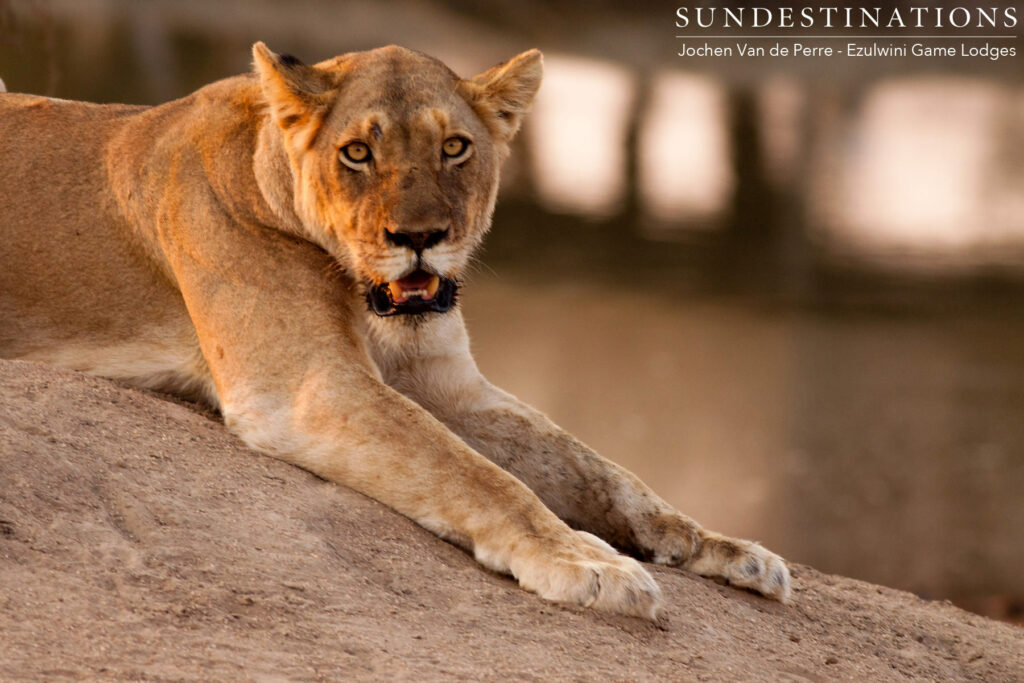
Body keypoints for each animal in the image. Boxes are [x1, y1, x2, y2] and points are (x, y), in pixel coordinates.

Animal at [0, 43, 790, 620]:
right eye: (357, 152)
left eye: (455, 148)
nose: (419, 238)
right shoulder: (310, 387)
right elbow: (475, 474)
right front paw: (586, 562)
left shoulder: (449, 385)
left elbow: (603, 472)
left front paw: (723, 547)